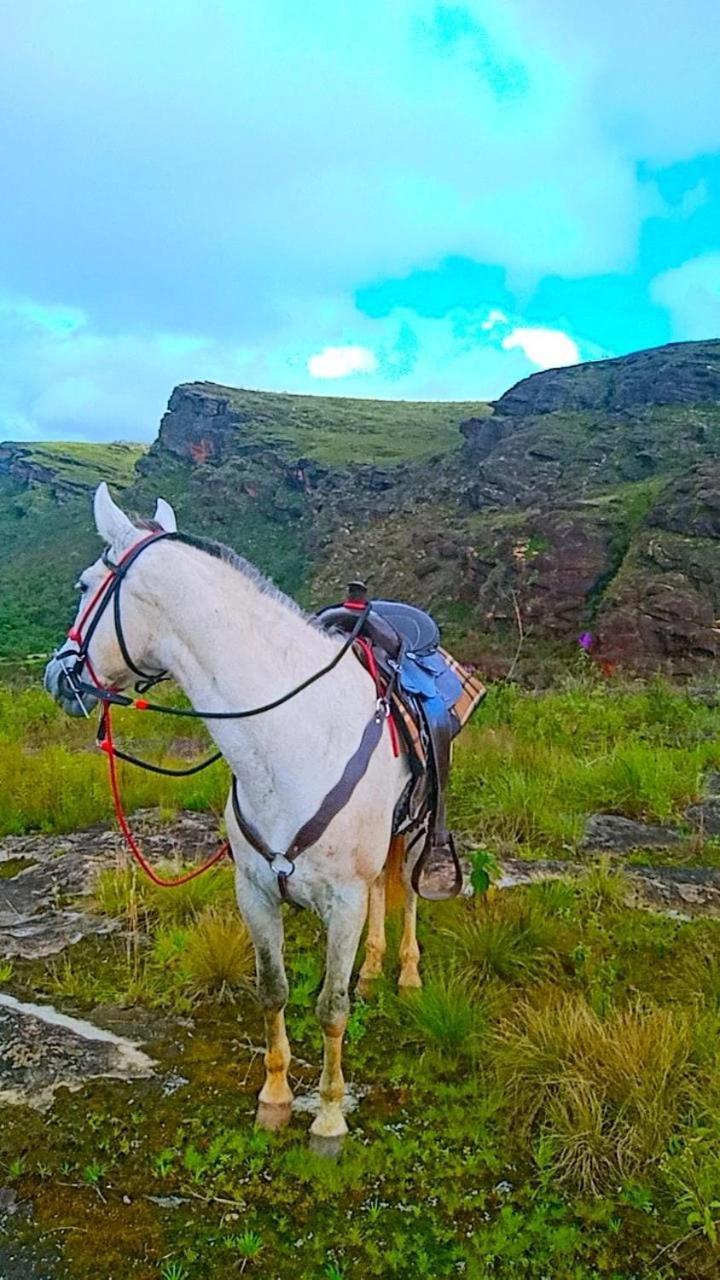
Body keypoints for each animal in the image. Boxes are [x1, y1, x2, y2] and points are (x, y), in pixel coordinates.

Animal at [44, 481, 420, 1141]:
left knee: (414, 890)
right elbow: (273, 990)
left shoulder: (343, 900)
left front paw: (328, 1117)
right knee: (385, 886)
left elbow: (331, 1007)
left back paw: (407, 972)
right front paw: (274, 1097)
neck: (291, 737)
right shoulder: (254, 890)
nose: (55, 676)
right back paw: (374, 967)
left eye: (85, 584)